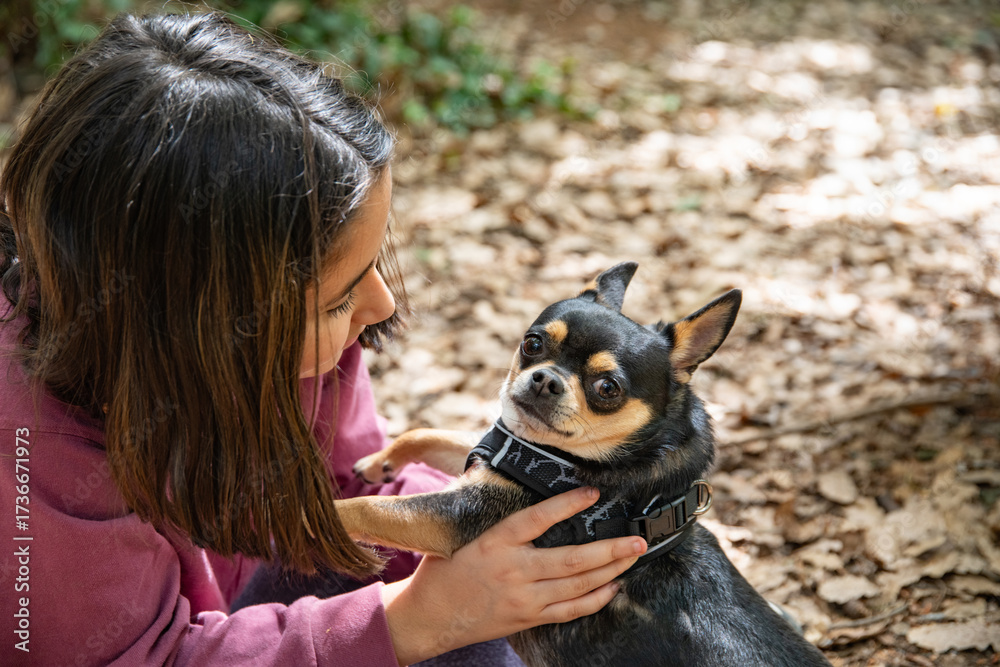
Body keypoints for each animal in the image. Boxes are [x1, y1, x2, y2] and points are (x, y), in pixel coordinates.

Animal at [337, 262, 831, 666]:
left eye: (607, 388)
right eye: (532, 343)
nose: (546, 379)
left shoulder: (457, 513)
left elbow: (370, 509)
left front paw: (324, 521)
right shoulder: (497, 453)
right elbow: (427, 434)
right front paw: (380, 461)